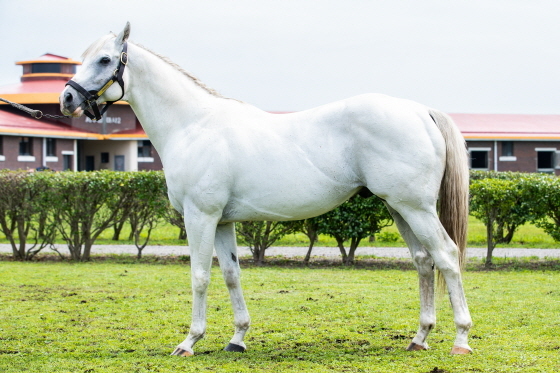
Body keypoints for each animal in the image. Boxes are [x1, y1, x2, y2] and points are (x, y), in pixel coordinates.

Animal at [61, 23, 472, 354]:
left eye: (104, 59)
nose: (67, 98)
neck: (193, 125)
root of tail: (420, 111)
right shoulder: (222, 221)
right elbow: (231, 274)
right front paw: (237, 338)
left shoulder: (200, 217)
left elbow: (199, 276)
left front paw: (189, 341)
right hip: (399, 208)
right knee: (423, 260)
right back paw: (419, 338)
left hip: (416, 207)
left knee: (447, 256)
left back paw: (461, 339)